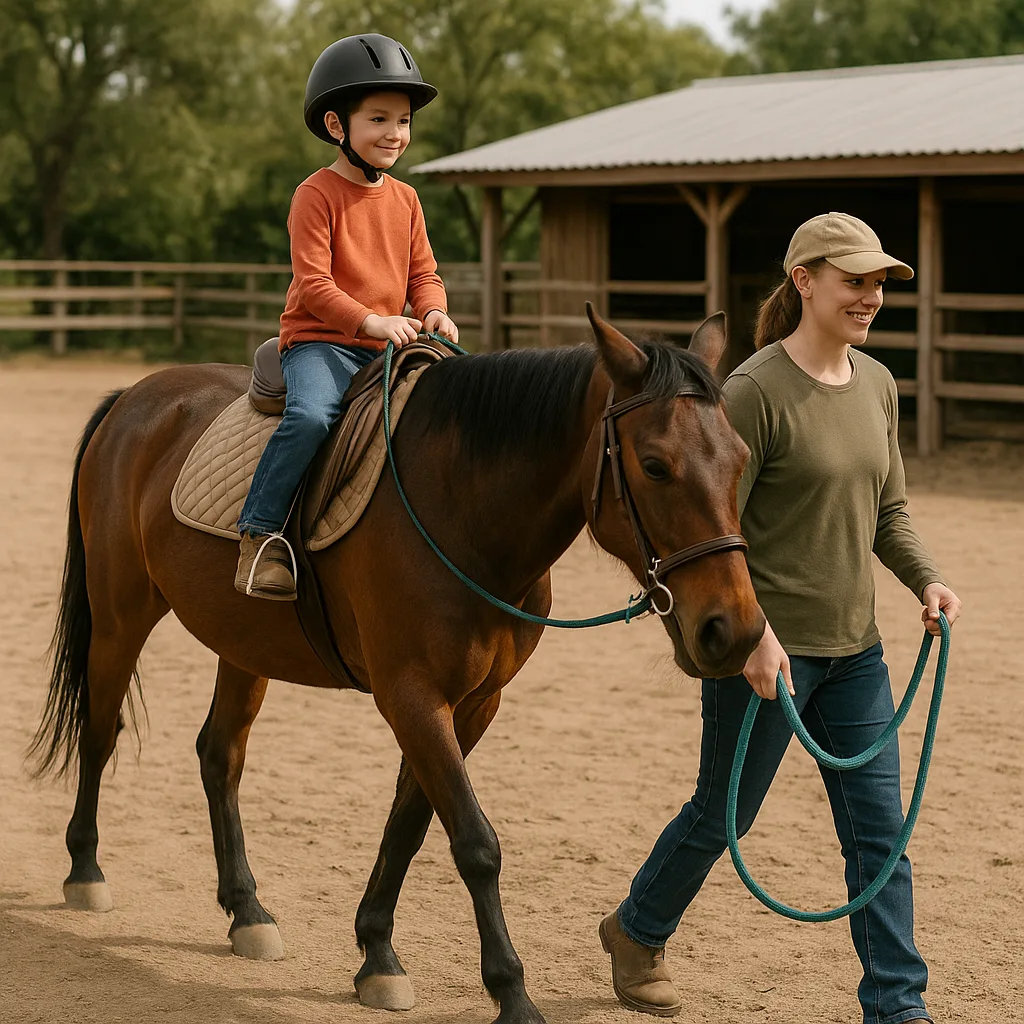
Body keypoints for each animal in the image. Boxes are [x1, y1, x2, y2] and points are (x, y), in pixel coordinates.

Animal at [31, 306, 765, 1024]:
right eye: (656, 465)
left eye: (741, 460)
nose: (733, 631)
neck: (462, 510)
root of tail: (136, 396)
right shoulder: (411, 695)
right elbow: (474, 843)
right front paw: (511, 994)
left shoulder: (473, 704)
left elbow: (411, 823)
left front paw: (377, 953)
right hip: (119, 617)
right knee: (101, 731)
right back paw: (85, 872)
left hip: (242, 645)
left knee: (220, 756)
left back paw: (246, 912)